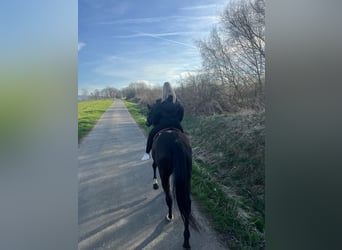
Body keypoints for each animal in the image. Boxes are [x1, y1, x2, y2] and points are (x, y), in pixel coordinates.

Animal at [146, 103, 199, 248]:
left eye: (150, 113)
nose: (147, 122)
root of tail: (176, 142)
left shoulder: (157, 162)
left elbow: (153, 166)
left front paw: (155, 184)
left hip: (164, 172)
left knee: (169, 197)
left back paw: (169, 216)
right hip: (187, 175)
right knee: (187, 204)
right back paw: (186, 240)